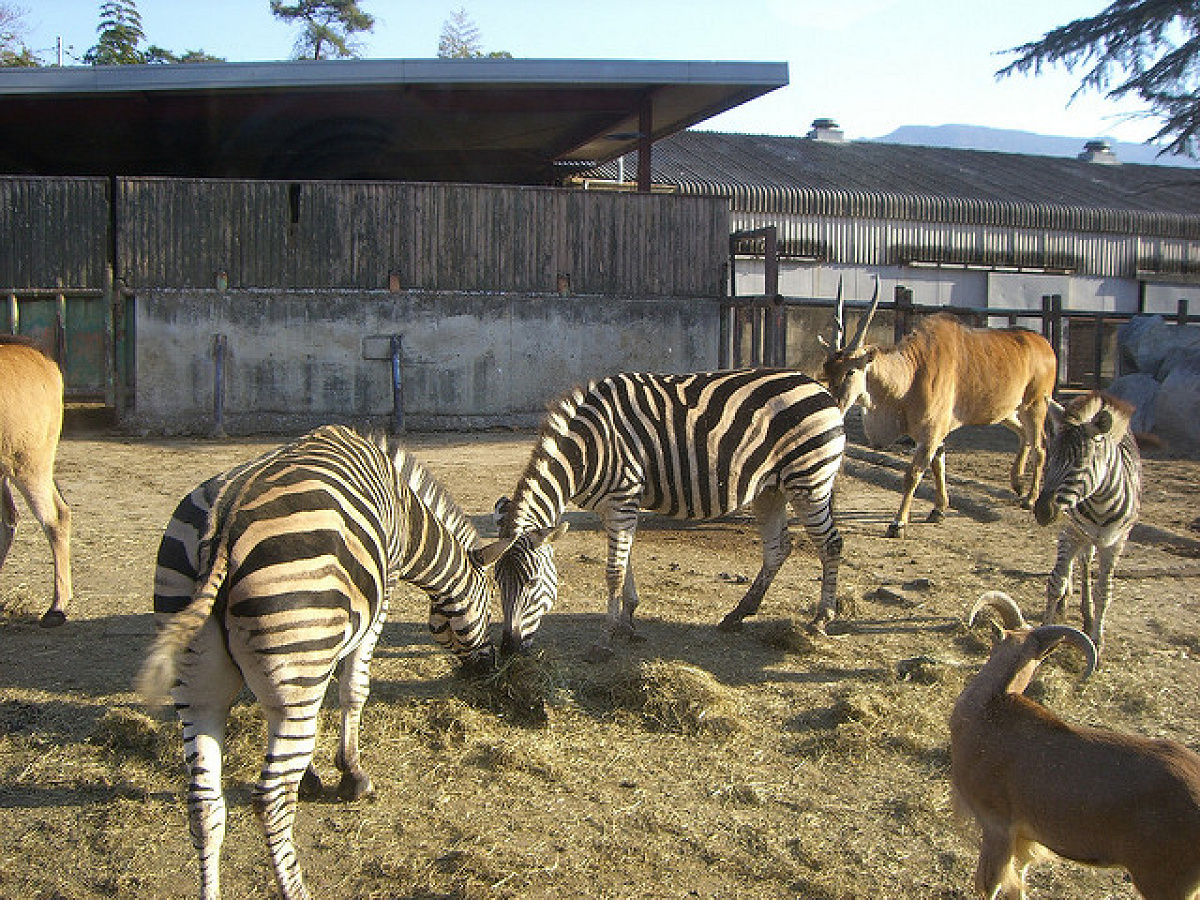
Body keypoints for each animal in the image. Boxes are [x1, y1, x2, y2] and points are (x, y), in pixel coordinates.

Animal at [138, 427, 513, 900]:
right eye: (490, 601)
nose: (487, 668)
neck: (408, 520)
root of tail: (220, 527)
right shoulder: (378, 600)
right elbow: (354, 689)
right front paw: (352, 775)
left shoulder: (307, 656)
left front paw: (314, 774)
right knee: (272, 801)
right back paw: (296, 887)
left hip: (200, 686)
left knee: (204, 805)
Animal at [492, 367, 849, 662]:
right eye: (497, 582)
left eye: (532, 582)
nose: (508, 649)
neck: (589, 449)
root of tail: (818, 386)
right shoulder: (612, 507)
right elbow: (626, 563)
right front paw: (627, 623)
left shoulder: (623, 499)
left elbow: (614, 572)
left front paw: (605, 641)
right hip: (770, 489)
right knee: (778, 548)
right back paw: (738, 614)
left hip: (809, 481)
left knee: (830, 544)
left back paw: (821, 619)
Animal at [1032, 391, 1142, 657]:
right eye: (1051, 460)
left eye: (1080, 463)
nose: (1042, 511)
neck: (1100, 504)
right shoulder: (1071, 531)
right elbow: (1055, 581)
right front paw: (1046, 629)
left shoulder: (1115, 543)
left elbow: (1104, 591)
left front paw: (1097, 641)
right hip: (1073, 532)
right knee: (1071, 564)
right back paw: (1066, 601)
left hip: (1095, 539)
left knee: (1085, 562)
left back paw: (1088, 615)